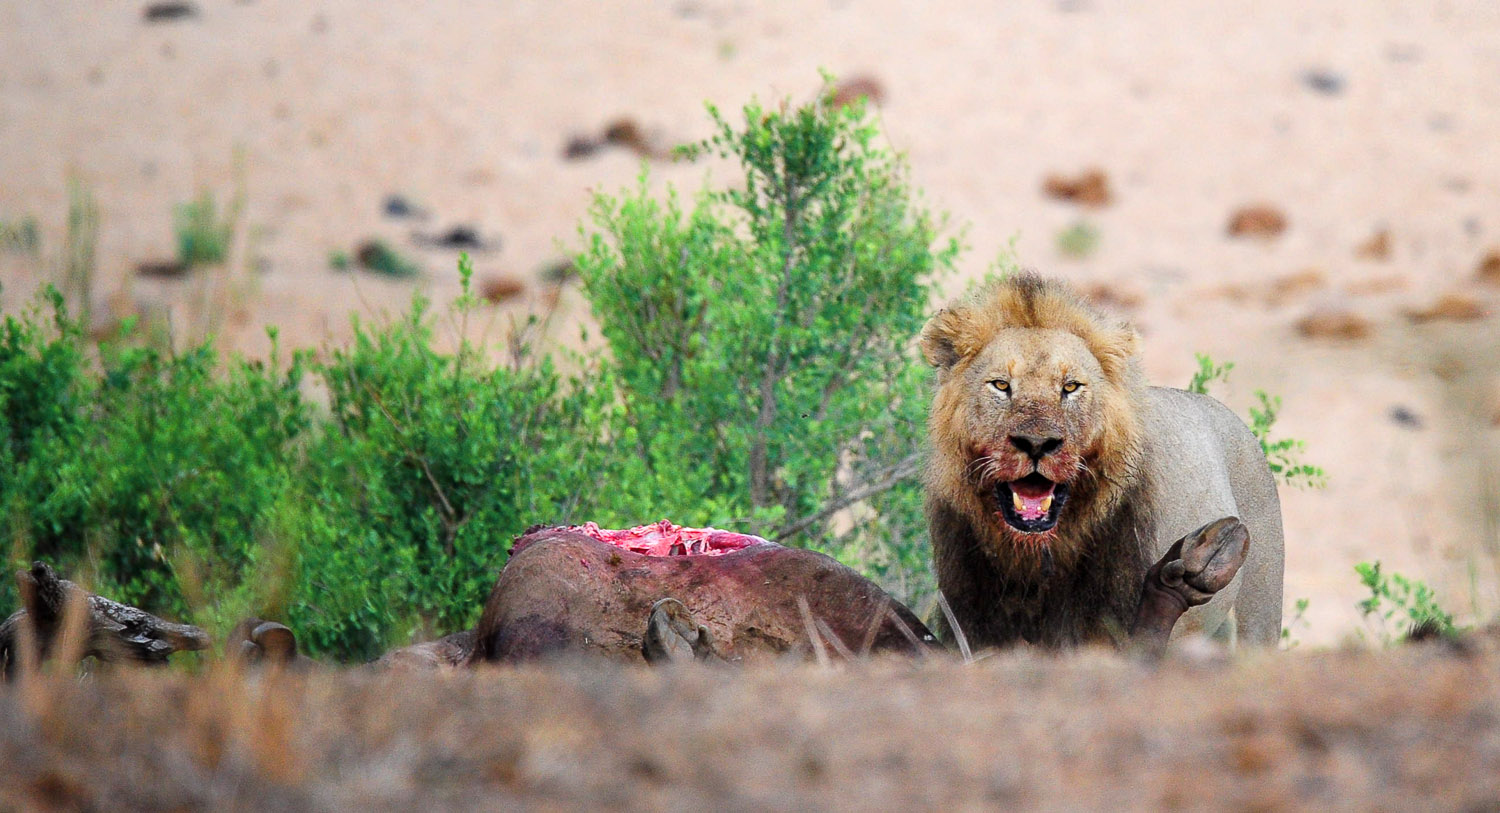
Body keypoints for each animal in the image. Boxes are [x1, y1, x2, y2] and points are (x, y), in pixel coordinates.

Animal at [920, 273, 1284, 649]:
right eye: (1001, 385)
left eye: (1070, 387)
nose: (1037, 444)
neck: (1033, 562)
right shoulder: (970, 619)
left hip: (1260, 611)